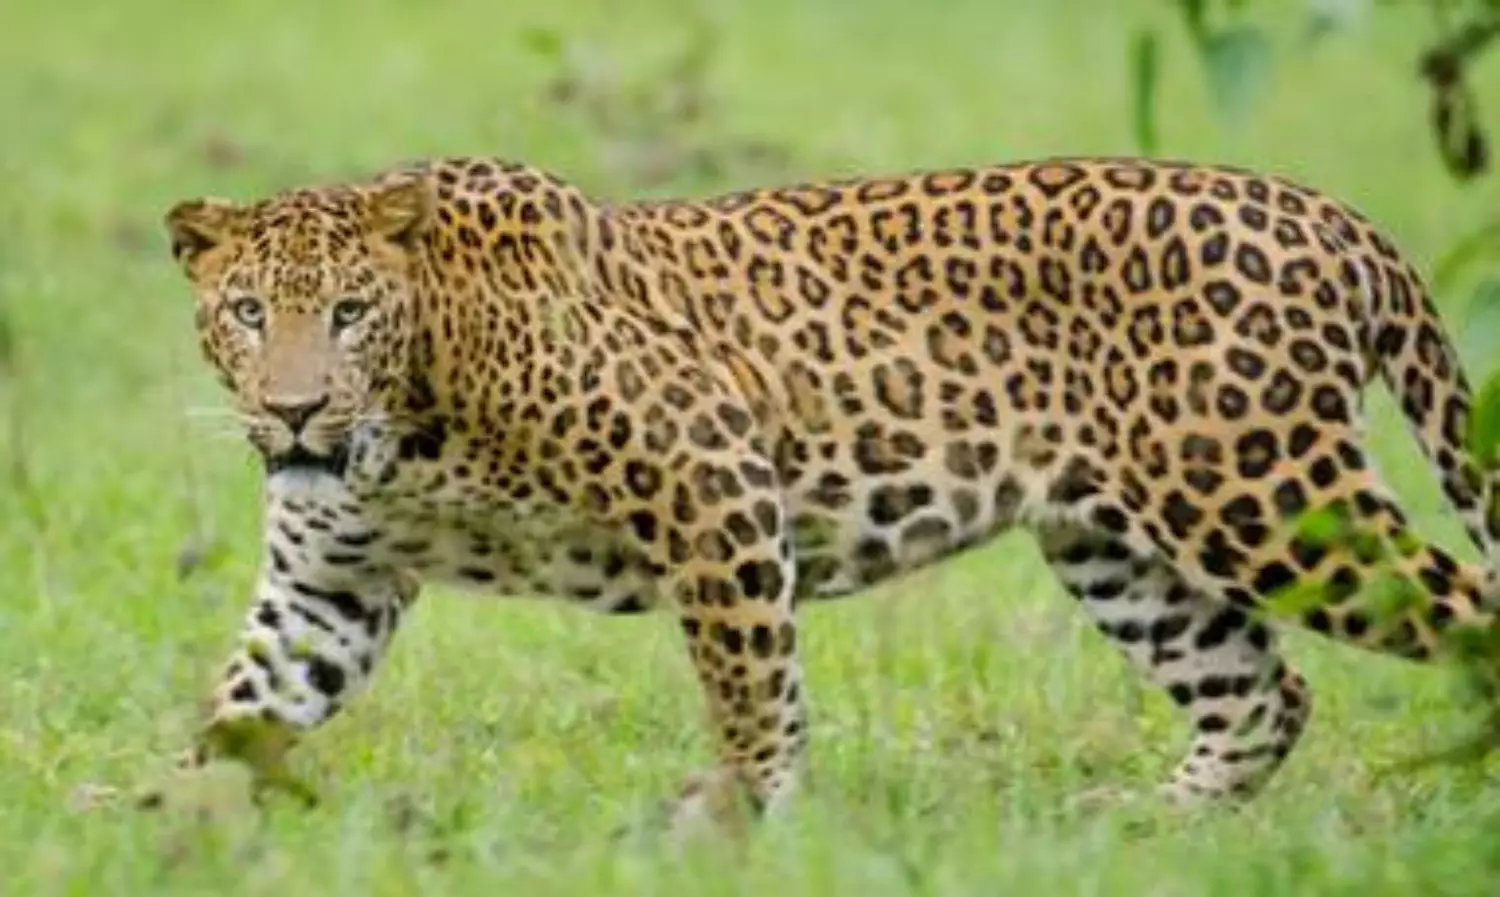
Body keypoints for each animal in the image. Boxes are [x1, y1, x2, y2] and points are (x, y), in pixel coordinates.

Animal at [159, 154, 1500, 830]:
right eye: (248, 313)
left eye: (349, 312)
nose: (295, 410)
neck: (411, 424)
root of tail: (1333, 215)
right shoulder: (330, 586)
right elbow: (241, 709)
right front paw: (156, 821)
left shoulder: (709, 475)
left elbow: (750, 681)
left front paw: (741, 818)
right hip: (1119, 544)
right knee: (1262, 693)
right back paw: (1142, 825)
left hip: (1264, 498)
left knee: (1468, 614)